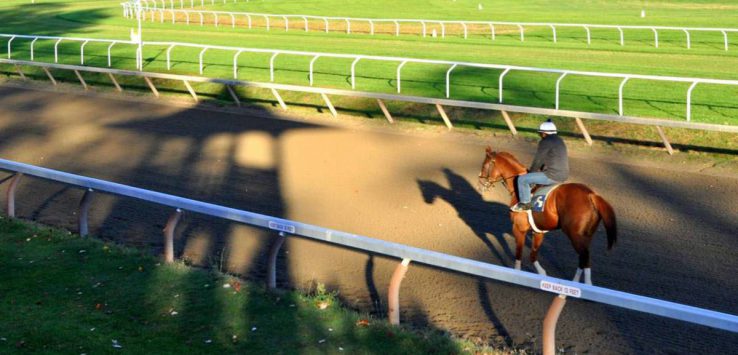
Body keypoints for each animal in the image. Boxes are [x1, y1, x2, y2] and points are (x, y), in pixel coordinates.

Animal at [474, 147, 612, 286]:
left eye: (484, 165)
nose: (479, 183)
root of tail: (591, 195)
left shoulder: (518, 228)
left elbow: (518, 254)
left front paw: (516, 275)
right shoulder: (538, 231)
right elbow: (533, 255)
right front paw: (542, 274)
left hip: (575, 236)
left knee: (585, 258)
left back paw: (586, 285)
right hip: (586, 236)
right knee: (583, 259)